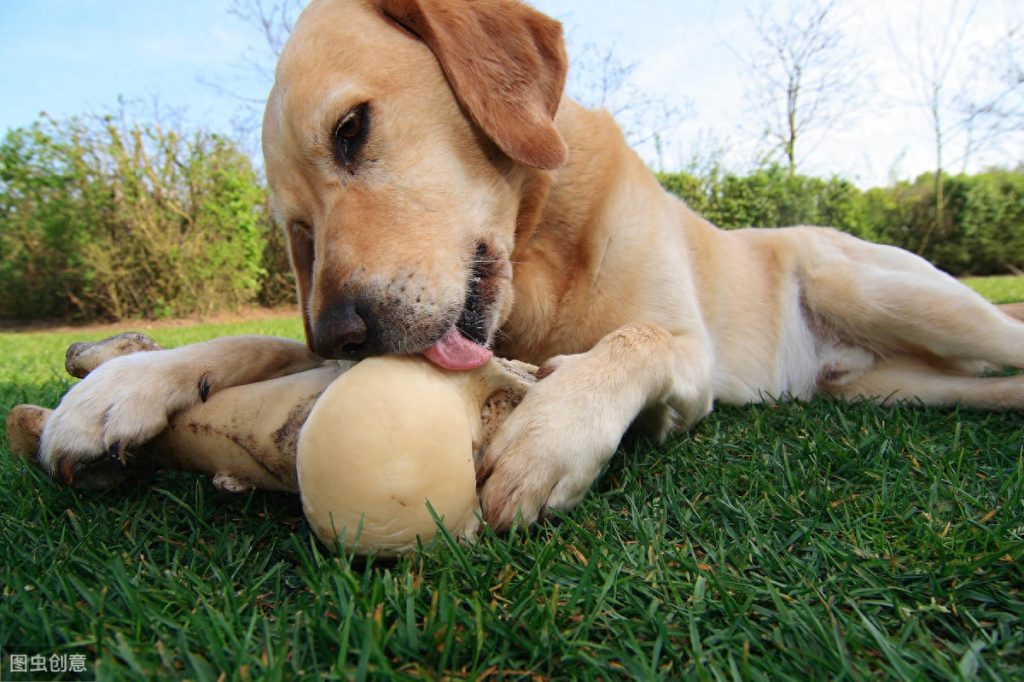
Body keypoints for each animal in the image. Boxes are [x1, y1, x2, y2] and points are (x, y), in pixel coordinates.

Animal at [39, 0, 1024, 524]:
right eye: (299, 230)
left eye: (351, 128)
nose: (343, 337)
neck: (539, 255)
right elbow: (245, 341)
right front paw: (119, 388)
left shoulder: (688, 354)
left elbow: (629, 343)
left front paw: (550, 434)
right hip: (894, 387)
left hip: (886, 291)